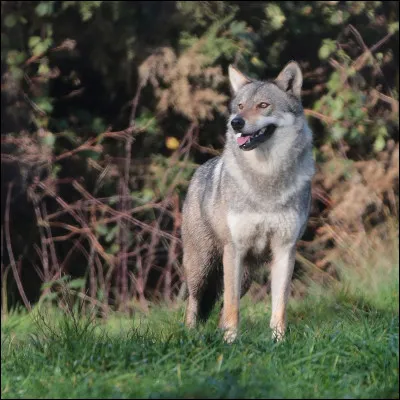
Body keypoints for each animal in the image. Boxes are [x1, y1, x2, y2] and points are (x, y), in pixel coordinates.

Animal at [181, 61, 316, 342]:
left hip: (243, 276)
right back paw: (190, 337)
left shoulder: (285, 250)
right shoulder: (234, 249)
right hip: (202, 268)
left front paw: (278, 342)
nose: (236, 123)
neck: (266, 178)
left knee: (221, 306)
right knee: (193, 303)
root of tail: (200, 170)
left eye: (263, 105)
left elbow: (279, 306)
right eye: (241, 106)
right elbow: (232, 308)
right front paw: (231, 343)